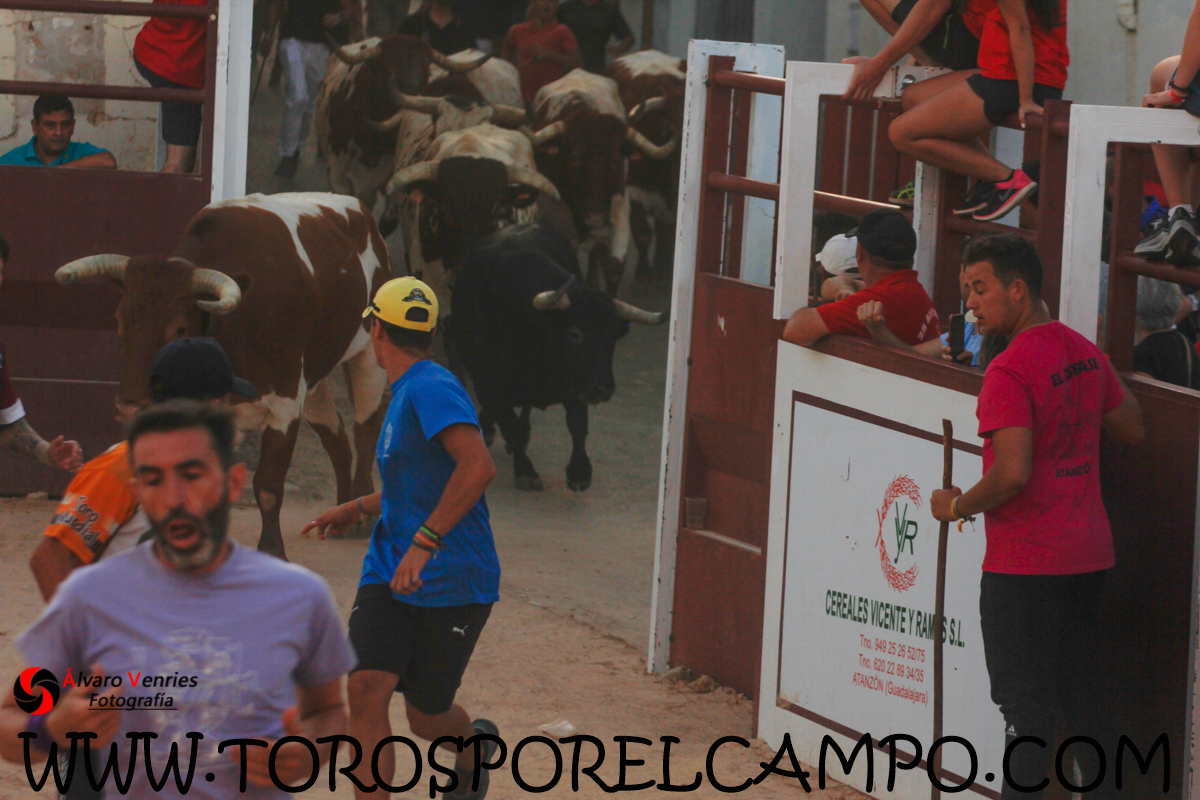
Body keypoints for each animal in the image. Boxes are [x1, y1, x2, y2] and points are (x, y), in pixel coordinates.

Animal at [53, 193, 391, 561]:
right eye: (120, 321)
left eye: (179, 328)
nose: (129, 407)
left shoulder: (285, 402)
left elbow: (268, 485)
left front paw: (272, 551)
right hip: (315, 376)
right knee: (336, 436)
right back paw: (341, 511)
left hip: (368, 355)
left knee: (365, 430)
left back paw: (359, 517)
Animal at [447, 222, 667, 492]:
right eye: (575, 333)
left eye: (613, 336)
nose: (604, 389)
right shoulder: (487, 382)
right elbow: (510, 426)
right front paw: (525, 470)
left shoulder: (576, 385)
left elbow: (577, 424)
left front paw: (579, 471)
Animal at [530, 69, 678, 298]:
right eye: (574, 158)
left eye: (616, 159)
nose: (596, 214)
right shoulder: (556, 214)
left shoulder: (620, 205)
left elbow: (614, 265)